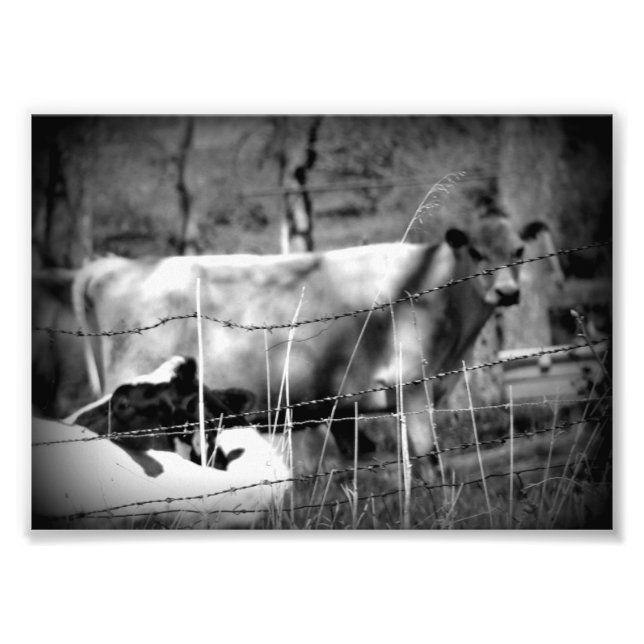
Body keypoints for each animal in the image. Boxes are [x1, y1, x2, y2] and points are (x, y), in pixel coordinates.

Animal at [70, 208, 558, 459]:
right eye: (477, 252)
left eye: (519, 249)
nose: (508, 291)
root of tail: (114, 264)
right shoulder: (411, 386)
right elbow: (427, 460)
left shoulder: (346, 407)